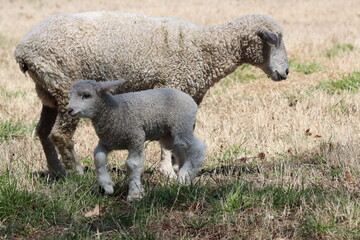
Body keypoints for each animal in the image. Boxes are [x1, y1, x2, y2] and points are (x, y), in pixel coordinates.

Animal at [14, 10, 290, 176]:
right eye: (275, 40)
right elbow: (166, 138)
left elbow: (181, 134)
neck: (205, 50)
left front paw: (179, 166)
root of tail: (22, 50)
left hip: (49, 92)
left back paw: (57, 171)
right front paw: (168, 171)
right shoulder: (172, 86)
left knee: (43, 132)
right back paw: (77, 172)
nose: (286, 72)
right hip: (65, 87)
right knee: (60, 134)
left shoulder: (187, 95)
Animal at [65, 79, 204, 201]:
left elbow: (132, 164)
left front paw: (134, 194)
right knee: (182, 151)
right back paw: (187, 177)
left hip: (182, 125)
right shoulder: (107, 142)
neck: (114, 112)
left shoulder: (136, 138)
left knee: (198, 148)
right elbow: (98, 157)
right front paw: (106, 185)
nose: (69, 110)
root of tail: (190, 99)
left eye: (87, 95)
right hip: (169, 135)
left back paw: (184, 176)